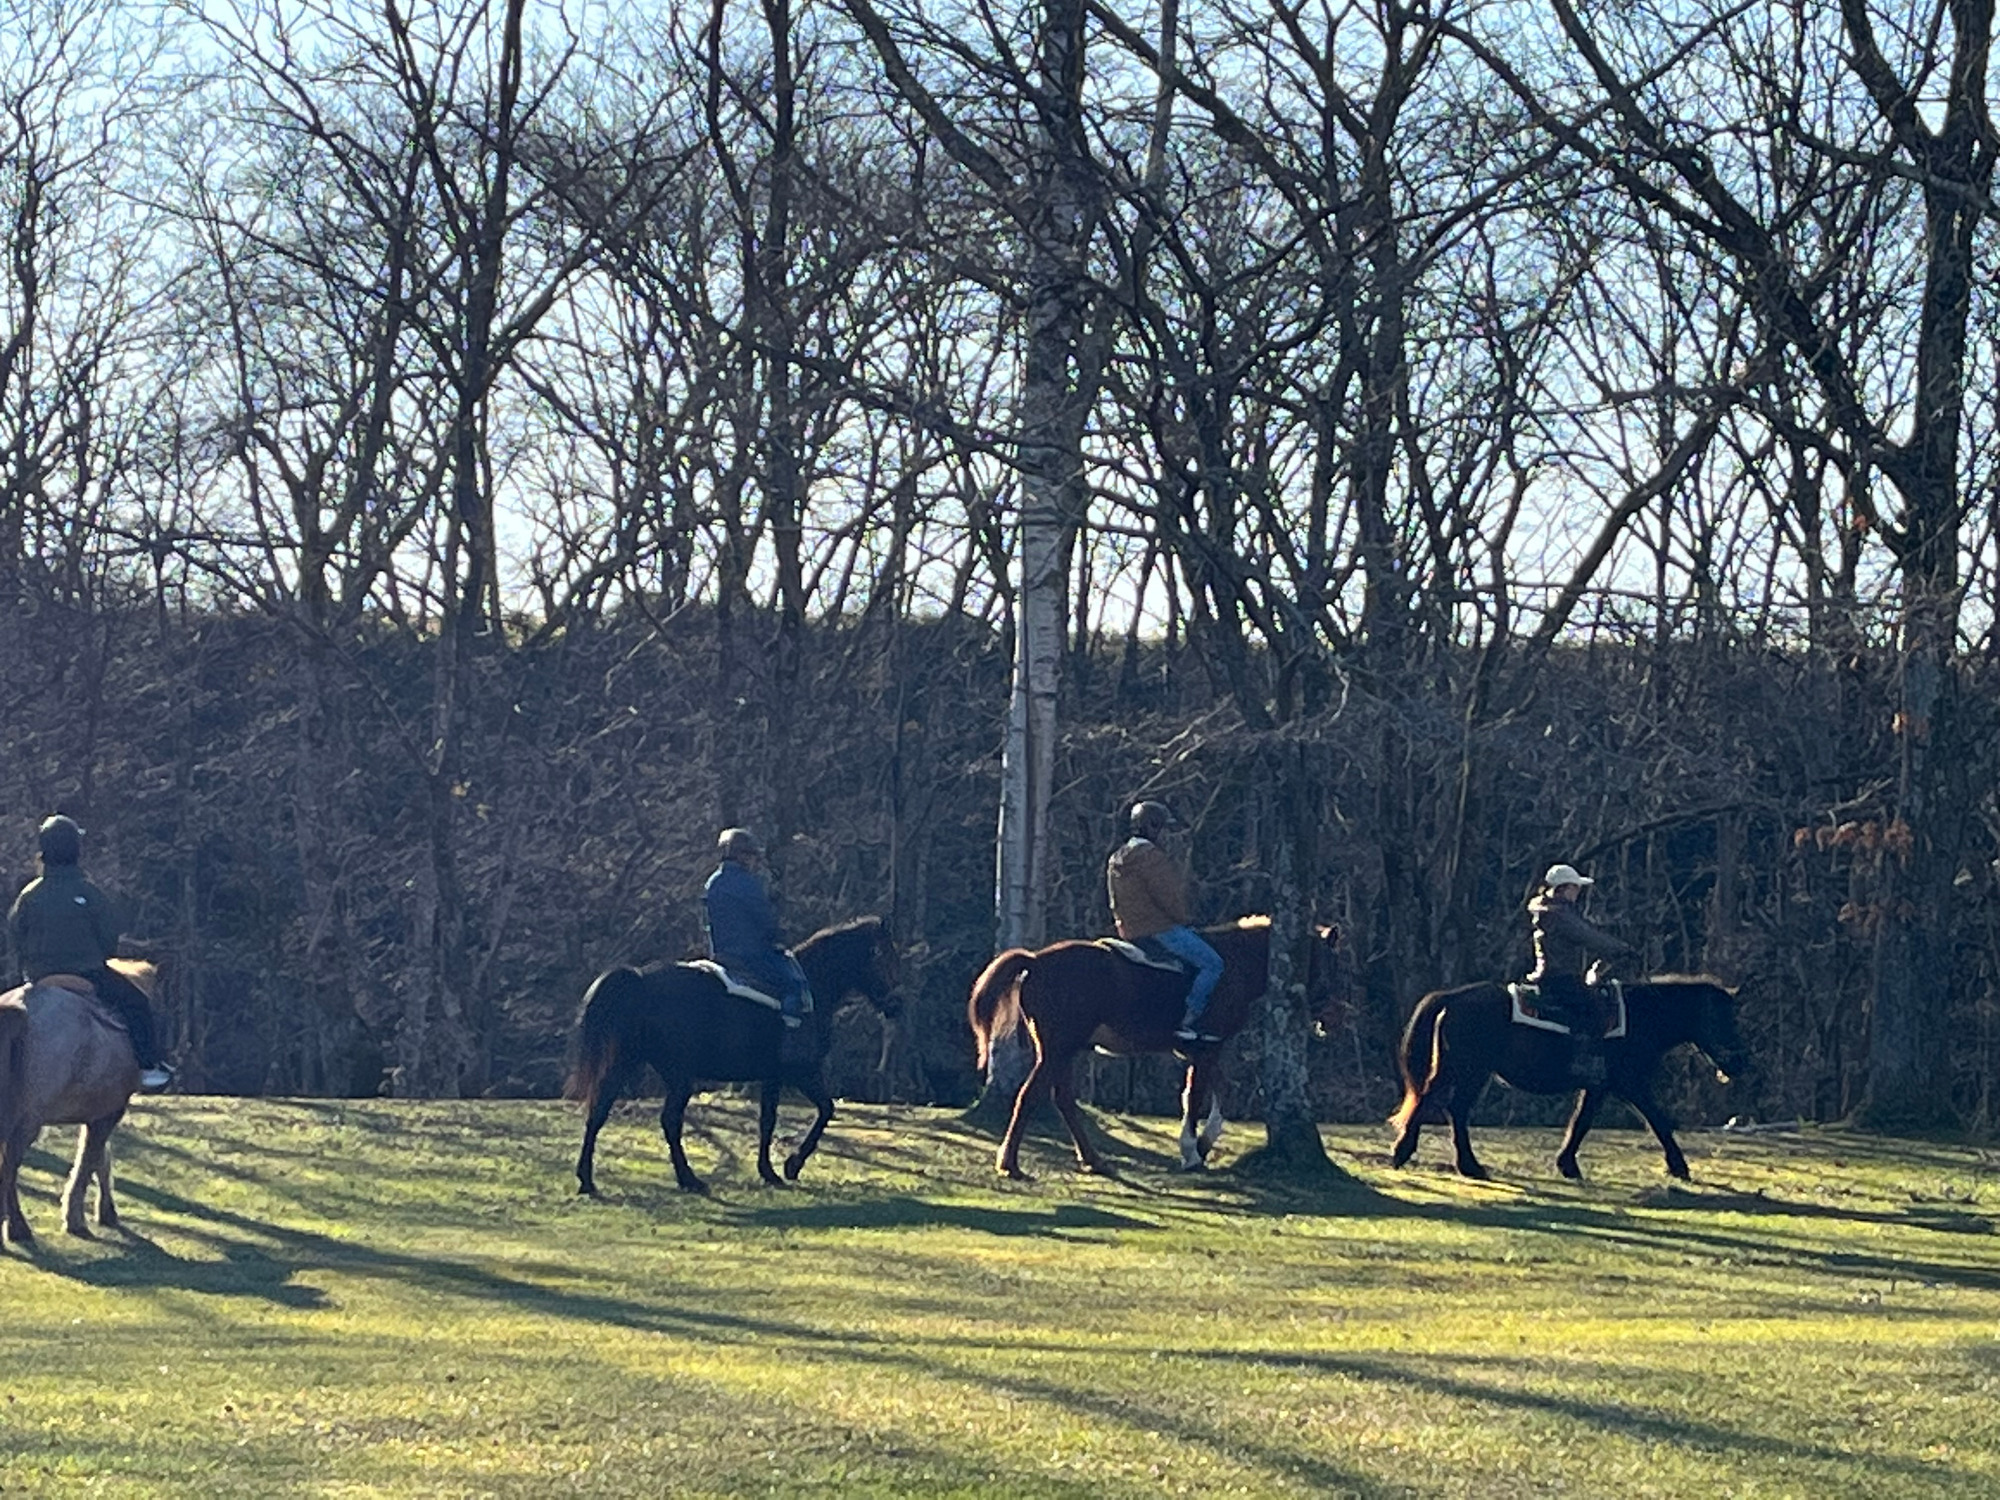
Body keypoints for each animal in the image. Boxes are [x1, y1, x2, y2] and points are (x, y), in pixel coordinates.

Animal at [0, 964, 162, 1248]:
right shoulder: (110, 1113)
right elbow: (89, 1160)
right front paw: (77, 1219)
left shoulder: (98, 1113)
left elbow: (100, 1158)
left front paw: (106, 1212)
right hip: (28, 1121)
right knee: (9, 1168)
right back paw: (18, 1227)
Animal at [568, 916, 904, 1200]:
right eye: (886, 957)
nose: (896, 1006)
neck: (815, 985)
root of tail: (639, 979)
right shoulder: (801, 1072)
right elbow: (825, 1110)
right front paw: (792, 1164)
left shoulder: (772, 1077)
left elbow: (768, 1121)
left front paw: (769, 1171)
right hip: (678, 1076)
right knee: (669, 1121)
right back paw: (689, 1179)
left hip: (628, 1063)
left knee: (599, 1111)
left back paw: (587, 1180)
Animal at [960, 916, 1352, 1184]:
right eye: (1332, 964)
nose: (1335, 1018)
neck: (1236, 964)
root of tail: (1036, 960)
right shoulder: (1206, 1047)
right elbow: (1196, 1098)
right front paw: (1192, 1151)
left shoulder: (1206, 1049)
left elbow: (1219, 1093)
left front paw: (1202, 1145)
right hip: (1058, 1049)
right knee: (1031, 1095)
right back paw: (1010, 1164)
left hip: (1064, 1051)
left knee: (1062, 1099)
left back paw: (1093, 1159)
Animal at [1392, 976, 1752, 1184]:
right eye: (1722, 1018)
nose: (1740, 1061)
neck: (1641, 1018)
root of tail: (1451, 996)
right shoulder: (1630, 1084)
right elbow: (1659, 1121)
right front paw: (1680, 1167)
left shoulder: (1598, 1087)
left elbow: (1581, 1122)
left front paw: (1567, 1165)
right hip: (1464, 1068)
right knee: (1434, 1101)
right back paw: (1403, 1153)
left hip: (1473, 1073)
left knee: (1455, 1110)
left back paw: (1468, 1165)